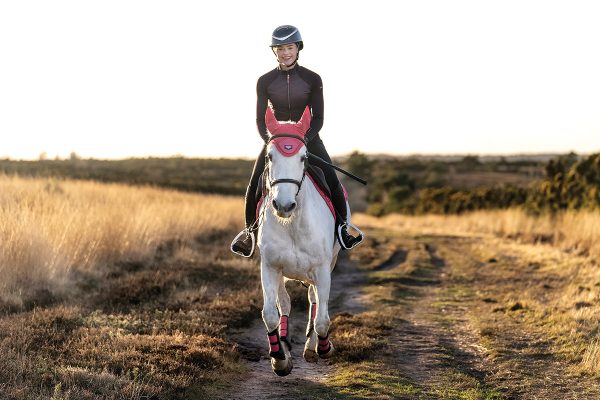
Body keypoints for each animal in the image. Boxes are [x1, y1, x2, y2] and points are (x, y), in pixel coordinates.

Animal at [256, 105, 346, 376]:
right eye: (269, 156)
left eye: (304, 158)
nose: (284, 205)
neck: (293, 224)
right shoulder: (270, 267)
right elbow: (270, 314)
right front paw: (279, 359)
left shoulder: (323, 269)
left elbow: (323, 319)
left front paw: (324, 348)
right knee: (285, 304)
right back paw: (285, 344)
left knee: (315, 301)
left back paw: (310, 347)